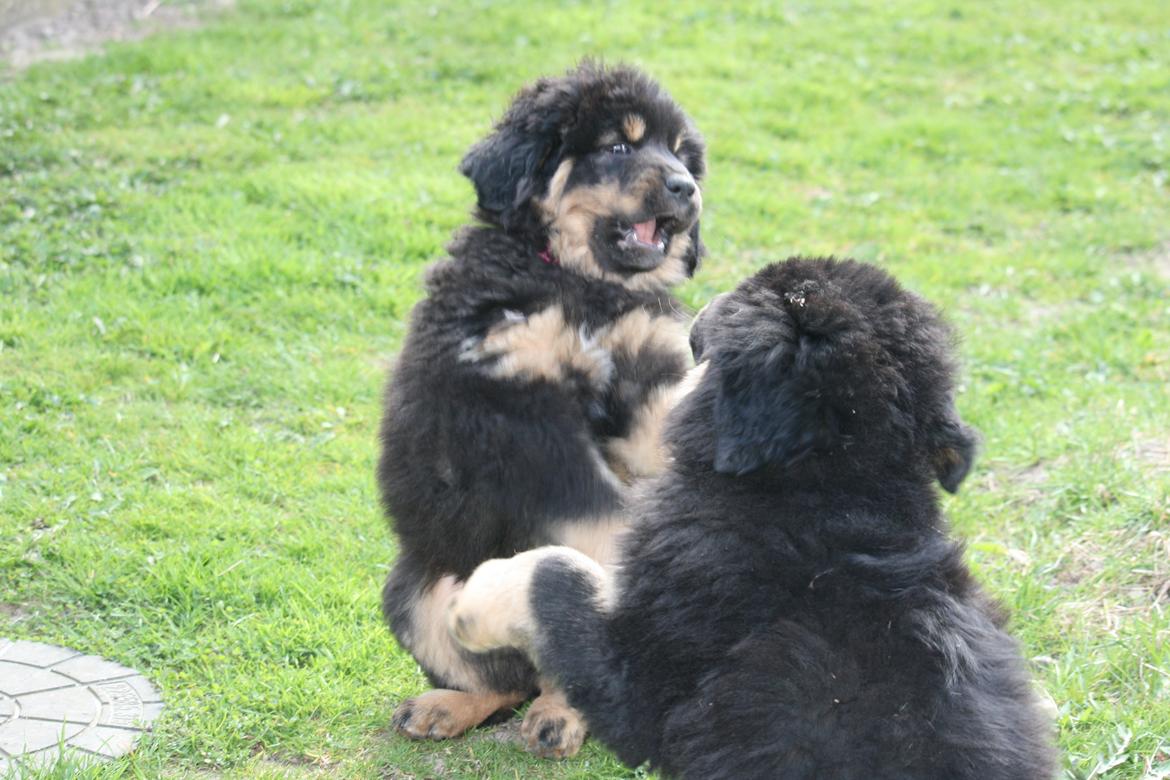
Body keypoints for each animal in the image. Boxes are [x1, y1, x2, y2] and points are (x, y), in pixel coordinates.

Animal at [379, 61, 702, 757]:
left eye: (683, 154)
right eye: (618, 147)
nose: (687, 189)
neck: (580, 284)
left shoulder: (650, 380)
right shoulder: (516, 415)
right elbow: (597, 509)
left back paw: (558, 717)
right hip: (418, 583)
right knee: (505, 677)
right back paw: (448, 706)